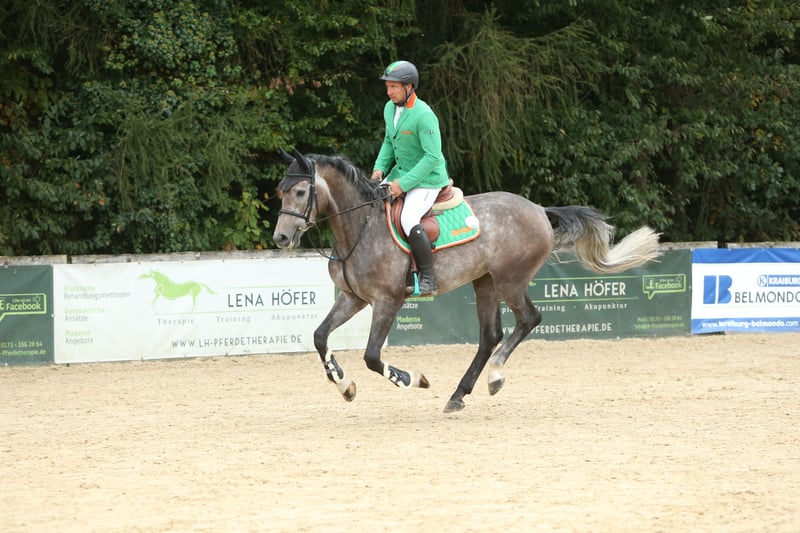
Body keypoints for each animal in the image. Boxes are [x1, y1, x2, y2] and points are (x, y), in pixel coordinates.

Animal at [273, 150, 661, 412]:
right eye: (280, 191)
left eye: (301, 193)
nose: (280, 238)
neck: (359, 227)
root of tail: (538, 209)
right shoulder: (352, 298)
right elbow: (320, 337)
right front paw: (344, 385)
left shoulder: (387, 301)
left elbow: (371, 356)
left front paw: (412, 379)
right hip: (485, 282)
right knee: (490, 335)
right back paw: (460, 393)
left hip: (509, 281)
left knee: (528, 320)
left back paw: (494, 377)